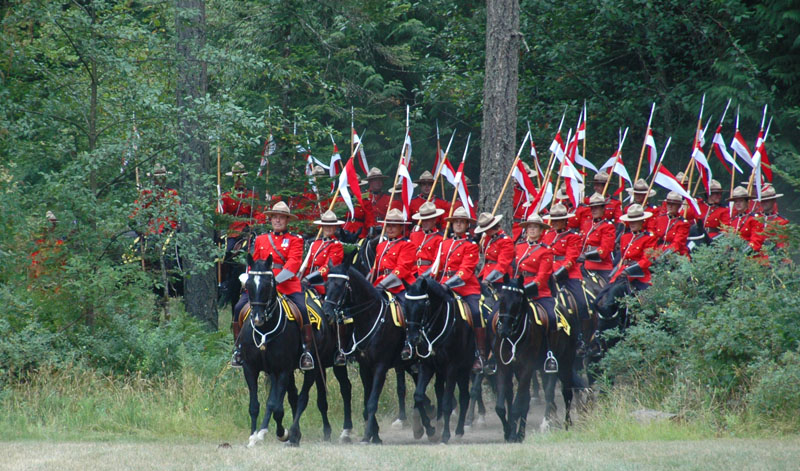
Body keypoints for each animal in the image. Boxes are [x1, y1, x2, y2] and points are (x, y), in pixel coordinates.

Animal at [239, 256, 314, 448]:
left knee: (300, 398)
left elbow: (277, 408)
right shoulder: (250, 368)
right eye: (248, 284)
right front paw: (253, 436)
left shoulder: (283, 370)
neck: (265, 329)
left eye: (268, 285)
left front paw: (283, 433)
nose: (257, 318)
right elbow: (254, 405)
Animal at [322, 264, 406, 444]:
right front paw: (375, 435)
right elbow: (367, 401)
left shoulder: (381, 367)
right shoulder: (365, 367)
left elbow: (372, 401)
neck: (370, 317)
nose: (326, 313)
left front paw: (368, 435)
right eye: (326, 285)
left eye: (341, 285)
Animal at [406, 276, 476, 442]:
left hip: (464, 369)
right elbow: (419, 396)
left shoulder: (451, 368)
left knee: (464, 397)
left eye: (423, 305)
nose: (412, 339)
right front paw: (430, 430)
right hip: (441, 371)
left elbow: (446, 402)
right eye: (406, 306)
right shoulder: (426, 366)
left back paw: (459, 431)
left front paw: (445, 435)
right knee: (439, 390)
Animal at [494, 278, 576, 440]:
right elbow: (501, 407)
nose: (504, 330)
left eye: (518, 301)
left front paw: (512, 435)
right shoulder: (504, 368)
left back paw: (566, 424)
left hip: (565, 363)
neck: (515, 337)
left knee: (566, 393)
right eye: (501, 298)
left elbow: (517, 406)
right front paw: (509, 431)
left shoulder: (526, 369)